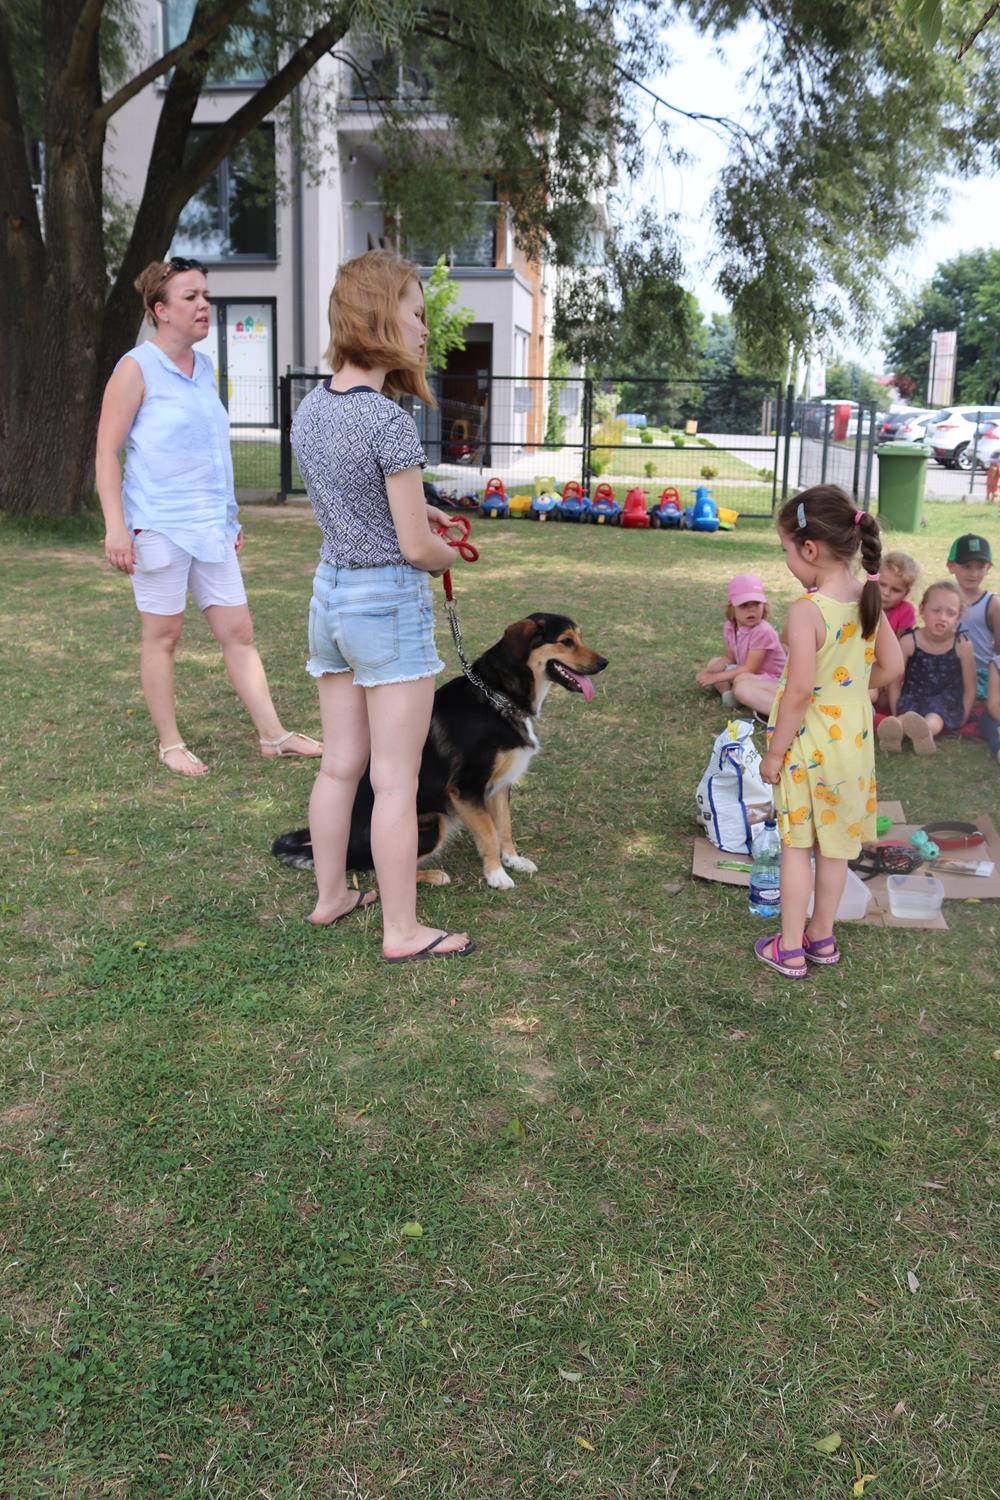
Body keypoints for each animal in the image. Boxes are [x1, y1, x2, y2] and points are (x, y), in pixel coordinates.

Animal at [272, 612, 608, 889]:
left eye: (580, 637)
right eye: (566, 641)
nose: (604, 662)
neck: (498, 696)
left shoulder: (500, 786)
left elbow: (505, 828)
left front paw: (513, 860)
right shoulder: (465, 789)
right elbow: (489, 833)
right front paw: (497, 875)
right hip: (433, 821)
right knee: (378, 872)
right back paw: (433, 875)